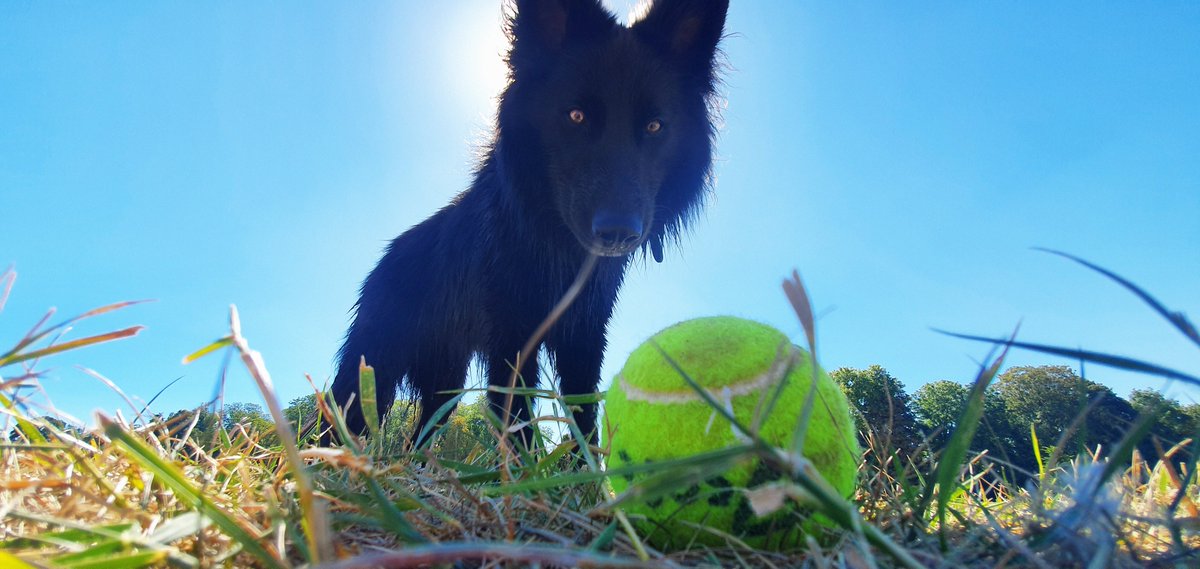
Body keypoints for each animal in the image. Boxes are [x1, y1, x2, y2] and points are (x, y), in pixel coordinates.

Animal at [327, 0, 729, 445]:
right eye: (575, 116)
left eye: (655, 126)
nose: (618, 234)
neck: (555, 243)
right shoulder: (513, 335)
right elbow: (516, 415)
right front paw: (520, 464)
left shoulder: (585, 334)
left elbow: (583, 415)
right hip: (373, 367)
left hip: (444, 381)